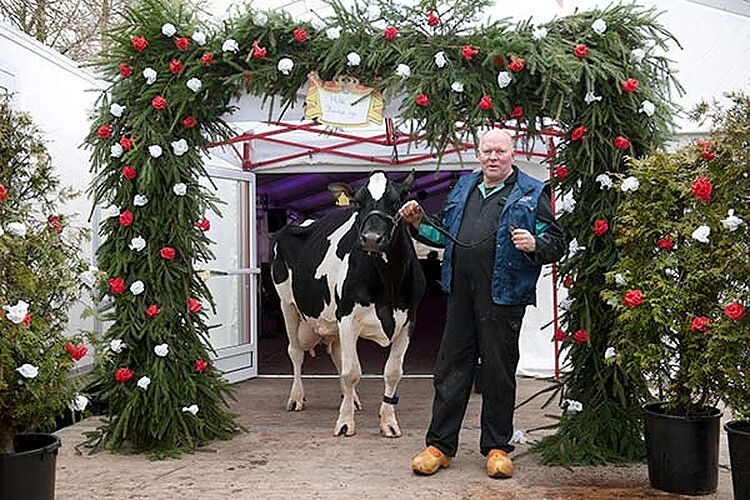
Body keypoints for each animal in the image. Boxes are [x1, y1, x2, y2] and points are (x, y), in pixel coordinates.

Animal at [270, 170, 426, 436]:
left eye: (396, 202)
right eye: (358, 203)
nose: (372, 239)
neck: (388, 282)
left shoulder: (409, 321)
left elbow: (393, 373)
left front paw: (389, 422)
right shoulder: (347, 316)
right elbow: (351, 372)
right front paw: (345, 423)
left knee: (336, 354)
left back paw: (350, 399)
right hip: (287, 304)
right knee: (296, 352)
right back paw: (297, 397)